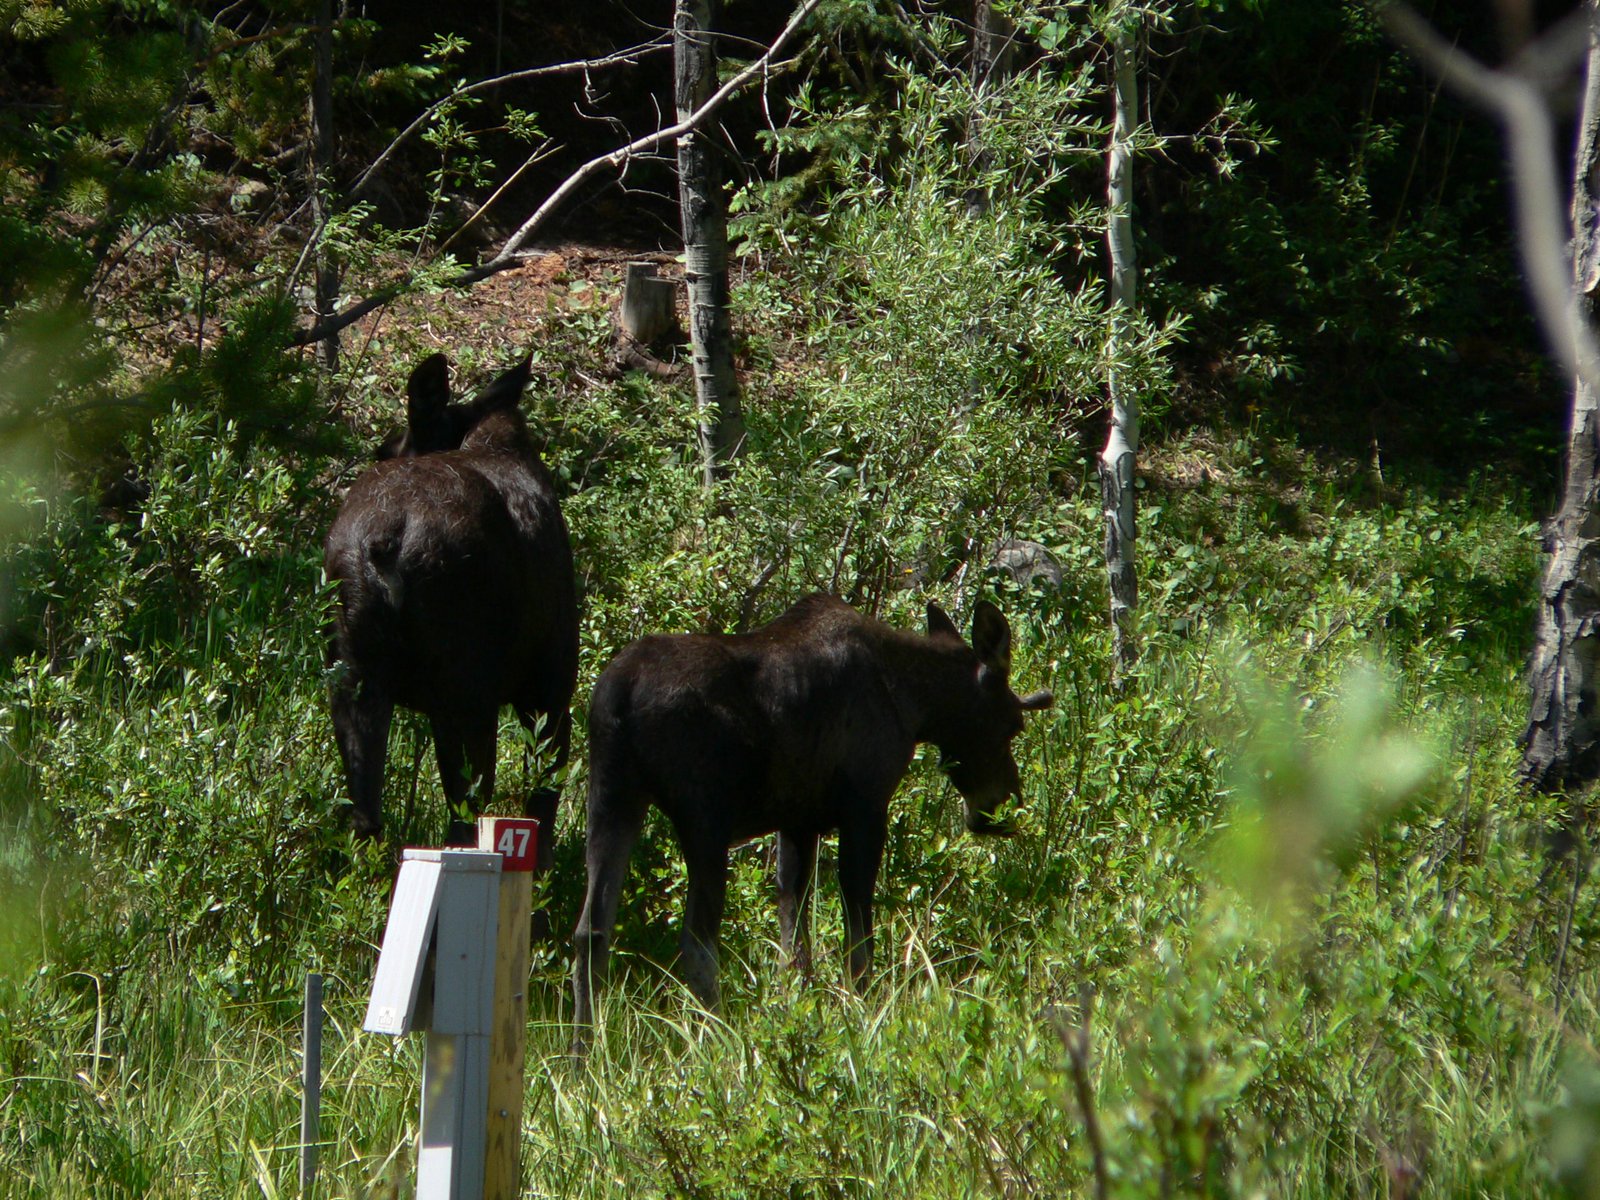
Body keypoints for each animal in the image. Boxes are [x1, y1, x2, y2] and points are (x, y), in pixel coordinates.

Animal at [321, 352, 579, 857]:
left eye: (385, 449)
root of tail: (384, 542)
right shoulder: (550, 684)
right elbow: (543, 800)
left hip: (354, 676)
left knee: (366, 813)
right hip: (468, 692)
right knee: (468, 811)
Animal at [572, 595, 1049, 1043]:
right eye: (1014, 725)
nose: (1004, 809)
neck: (914, 703)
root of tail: (617, 695)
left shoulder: (797, 821)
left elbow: (793, 938)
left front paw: (797, 1008)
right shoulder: (865, 806)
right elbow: (857, 931)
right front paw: (864, 1006)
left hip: (611, 799)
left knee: (590, 931)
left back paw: (584, 1053)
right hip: (704, 817)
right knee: (696, 941)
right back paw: (721, 1039)